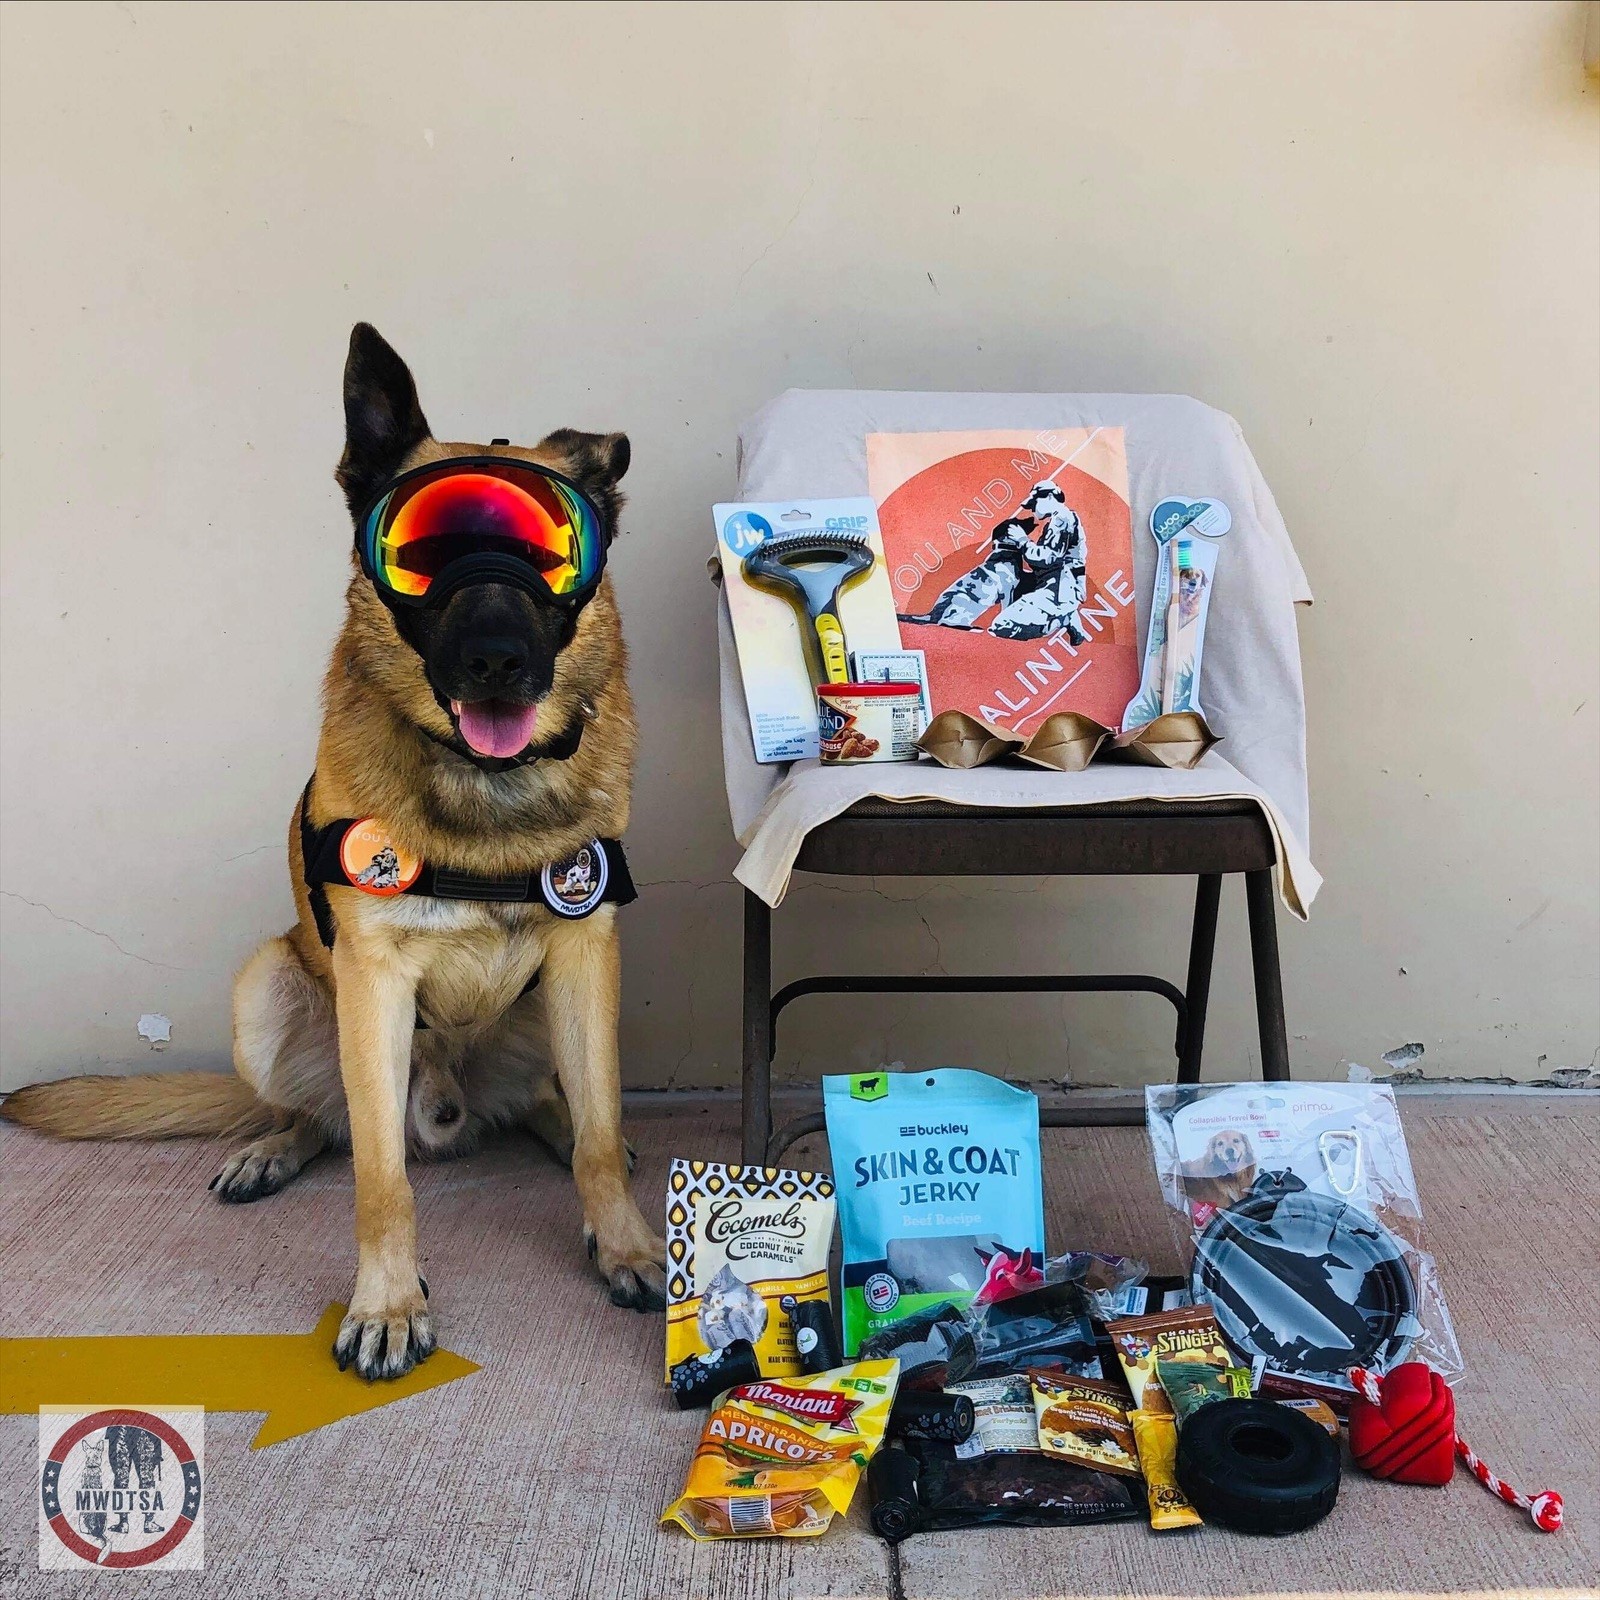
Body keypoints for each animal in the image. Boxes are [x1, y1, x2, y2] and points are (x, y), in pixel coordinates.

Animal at [0, 321, 662, 1376]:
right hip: (267, 986)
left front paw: (628, 1245)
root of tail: (454, 1109)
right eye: (420, 555)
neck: (482, 787)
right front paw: (389, 1305)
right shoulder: (375, 980)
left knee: (558, 1107)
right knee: (325, 1119)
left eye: (552, 554)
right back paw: (270, 1147)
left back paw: (561, 1129)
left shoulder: (584, 950)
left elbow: (601, 1132)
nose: (497, 663)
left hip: (546, 1012)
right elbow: (382, 1181)